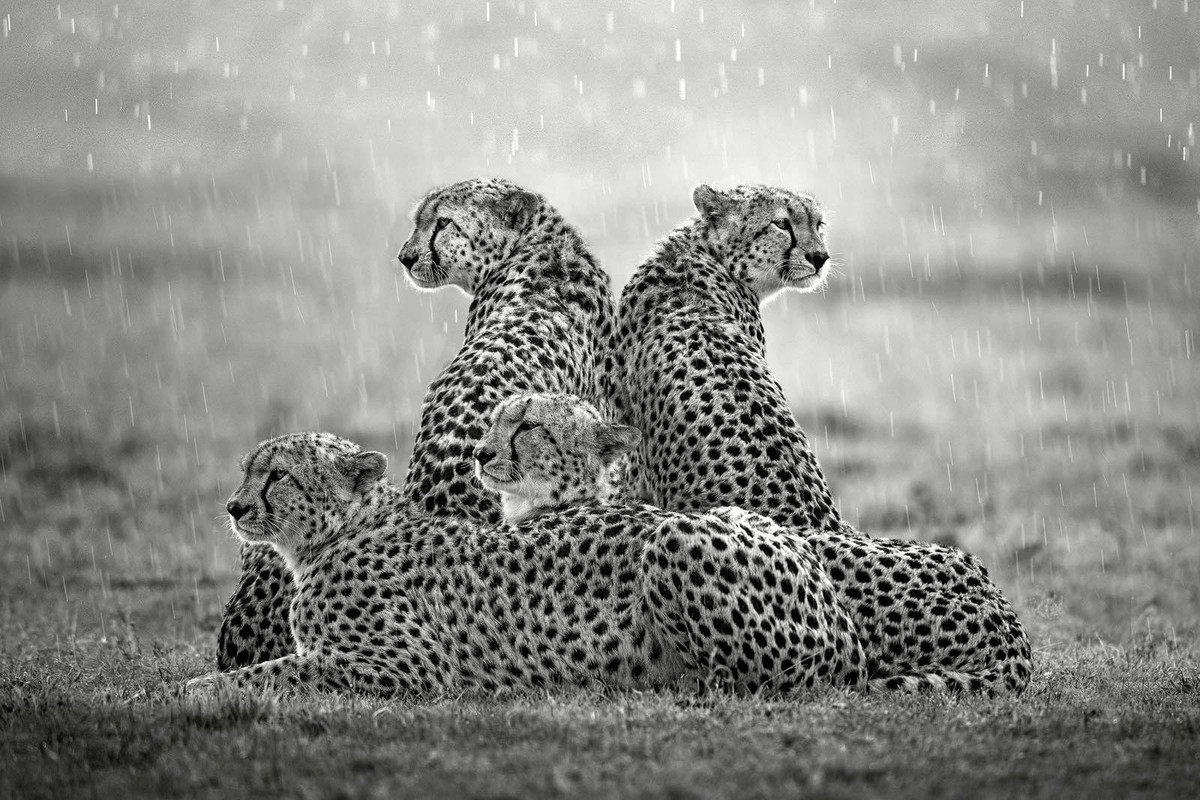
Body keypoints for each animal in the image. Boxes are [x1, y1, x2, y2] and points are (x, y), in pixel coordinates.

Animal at [190, 432, 868, 698]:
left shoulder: (410, 668)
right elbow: (281, 666)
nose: (233, 505)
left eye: (278, 475)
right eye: (248, 470)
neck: (335, 536)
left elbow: (280, 670)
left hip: (676, 535)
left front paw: (194, 689)